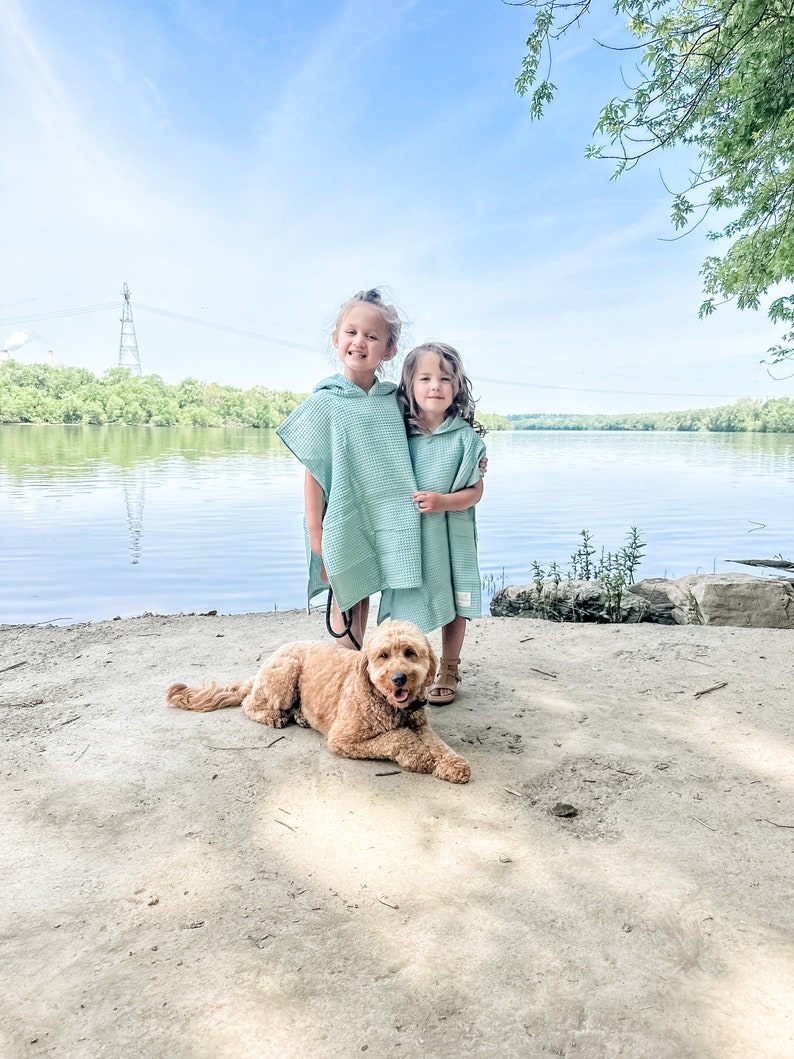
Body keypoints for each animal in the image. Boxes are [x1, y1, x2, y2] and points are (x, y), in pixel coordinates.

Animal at [165, 618, 470, 783]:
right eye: (383, 655)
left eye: (410, 652)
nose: (399, 678)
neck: (388, 703)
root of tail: (265, 665)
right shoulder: (343, 739)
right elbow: (397, 738)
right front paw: (419, 757)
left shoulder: (421, 725)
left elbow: (438, 745)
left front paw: (453, 764)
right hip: (285, 674)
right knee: (249, 705)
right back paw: (275, 716)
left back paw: (300, 716)